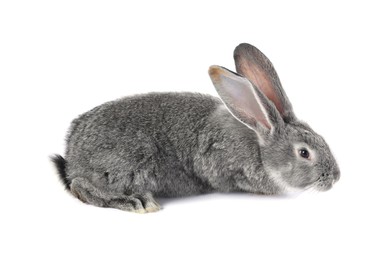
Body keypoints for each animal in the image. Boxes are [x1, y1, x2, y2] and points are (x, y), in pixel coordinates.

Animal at [51, 42, 340, 213]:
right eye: (304, 153)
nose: (335, 177)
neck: (261, 145)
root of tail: (72, 154)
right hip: (127, 163)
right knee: (81, 186)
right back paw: (136, 201)